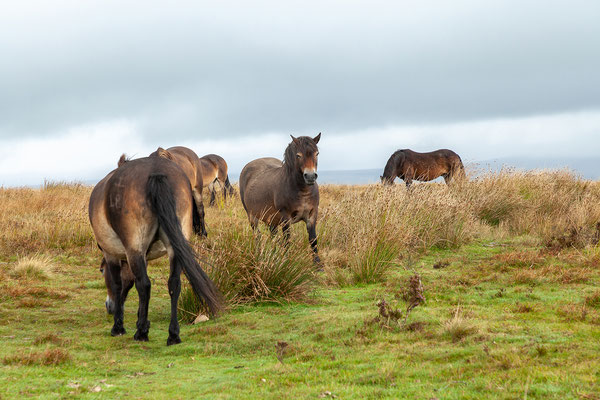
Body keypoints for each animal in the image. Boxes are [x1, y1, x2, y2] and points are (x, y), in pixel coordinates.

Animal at [239, 133, 324, 266]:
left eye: (317, 154)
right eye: (298, 155)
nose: (310, 176)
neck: (302, 191)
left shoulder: (312, 214)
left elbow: (313, 240)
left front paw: (318, 265)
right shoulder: (285, 217)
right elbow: (287, 240)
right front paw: (286, 262)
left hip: (271, 219)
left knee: (273, 236)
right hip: (252, 216)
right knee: (257, 236)